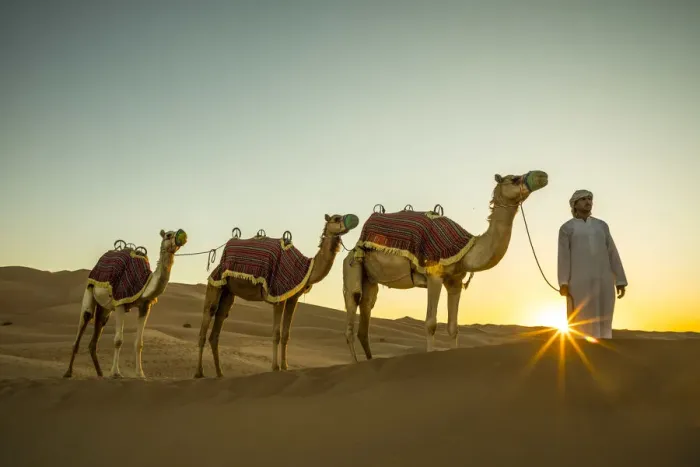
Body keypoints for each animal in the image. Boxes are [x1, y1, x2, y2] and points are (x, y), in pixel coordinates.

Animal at [63, 228, 188, 379]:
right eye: (168, 235)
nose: (182, 236)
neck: (144, 283)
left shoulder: (145, 306)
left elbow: (139, 343)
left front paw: (140, 374)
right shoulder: (120, 302)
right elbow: (118, 340)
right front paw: (116, 373)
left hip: (104, 308)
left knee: (97, 332)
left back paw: (100, 374)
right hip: (90, 288)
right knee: (84, 320)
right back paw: (68, 372)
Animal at [194, 213, 359, 378]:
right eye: (336, 218)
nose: (352, 221)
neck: (305, 268)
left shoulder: (292, 298)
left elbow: (286, 334)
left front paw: (285, 367)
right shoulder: (278, 295)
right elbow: (276, 334)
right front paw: (275, 367)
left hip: (228, 292)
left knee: (219, 322)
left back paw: (220, 373)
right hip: (215, 283)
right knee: (207, 318)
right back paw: (198, 373)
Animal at [342, 170, 549, 361]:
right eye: (514, 179)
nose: (542, 175)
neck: (465, 250)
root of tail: (353, 249)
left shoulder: (455, 281)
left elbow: (453, 327)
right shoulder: (434, 275)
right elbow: (430, 323)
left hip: (370, 280)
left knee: (366, 313)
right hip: (352, 266)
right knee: (352, 312)